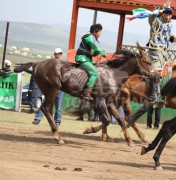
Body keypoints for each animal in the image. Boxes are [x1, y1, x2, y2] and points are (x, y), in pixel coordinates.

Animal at [13, 44, 152, 146]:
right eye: (148, 62)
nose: (153, 75)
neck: (112, 74)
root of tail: (37, 63)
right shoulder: (100, 100)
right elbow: (107, 120)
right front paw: (89, 130)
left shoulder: (110, 102)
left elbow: (120, 119)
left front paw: (129, 140)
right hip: (52, 90)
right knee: (46, 108)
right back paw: (58, 137)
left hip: (49, 92)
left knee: (47, 109)